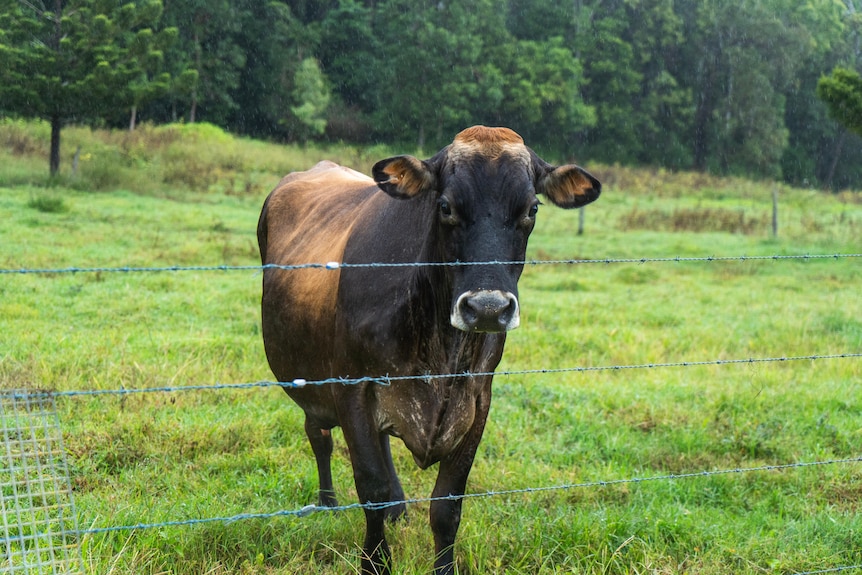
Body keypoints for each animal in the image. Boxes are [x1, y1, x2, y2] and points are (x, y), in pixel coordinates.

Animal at [257, 126, 601, 575]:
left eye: (532, 209)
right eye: (445, 206)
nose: (487, 308)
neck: (440, 347)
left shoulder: (478, 398)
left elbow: (447, 506)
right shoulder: (352, 387)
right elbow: (371, 486)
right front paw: (375, 563)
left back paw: (398, 510)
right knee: (320, 436)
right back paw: (329, 503)